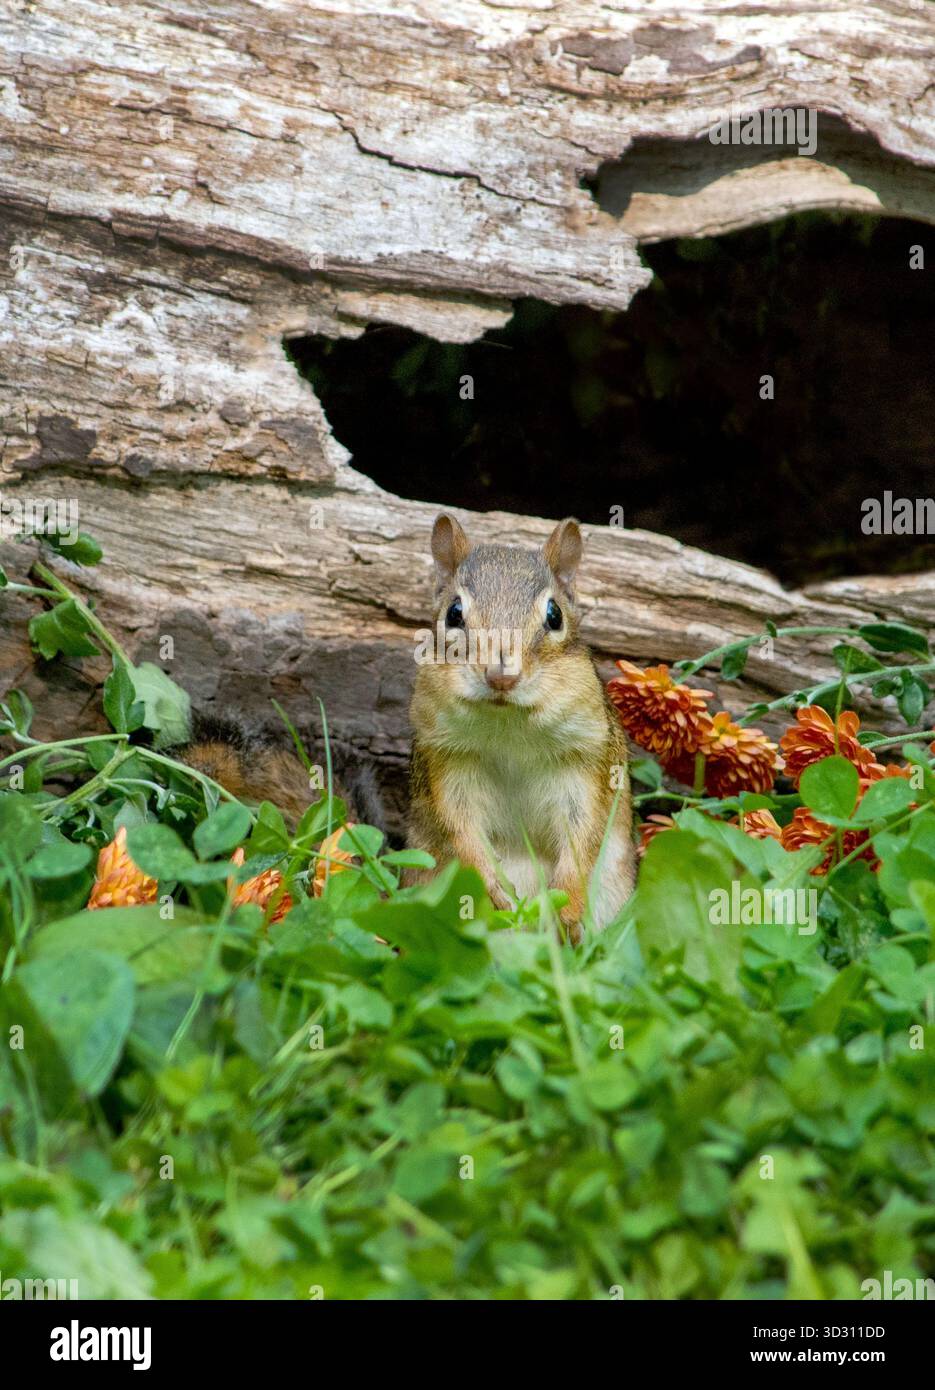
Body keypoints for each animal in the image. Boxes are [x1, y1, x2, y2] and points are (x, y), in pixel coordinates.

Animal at [405, 513, 636, 942]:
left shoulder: (587, 760)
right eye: (453, 613)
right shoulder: (446, 759)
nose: (502, 676)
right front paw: (493, 888)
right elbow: (459, 829)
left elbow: (585, 834)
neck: (508, 723)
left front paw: (567, 907)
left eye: (555, 615)